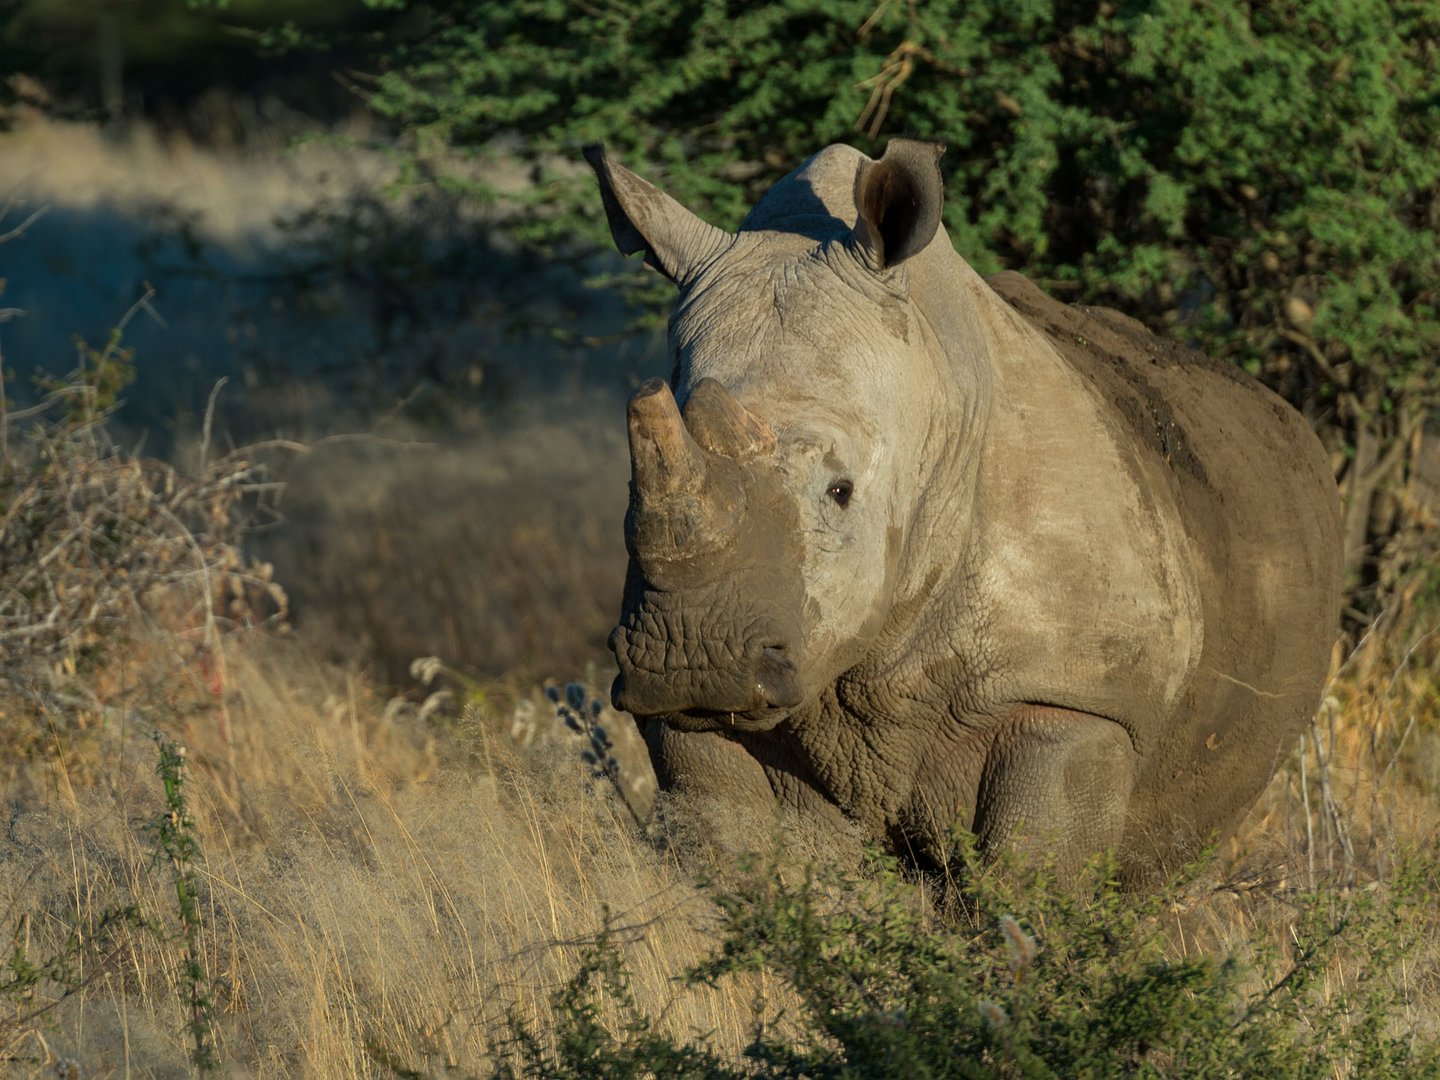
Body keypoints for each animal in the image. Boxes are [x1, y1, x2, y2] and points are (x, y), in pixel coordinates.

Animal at [581, 137, 1336, 881]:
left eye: (840, 492)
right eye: (627, 497)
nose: (691, 658)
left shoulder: (1077, 696)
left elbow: (1029, 878)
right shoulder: (693, 716)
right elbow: (732, 865)